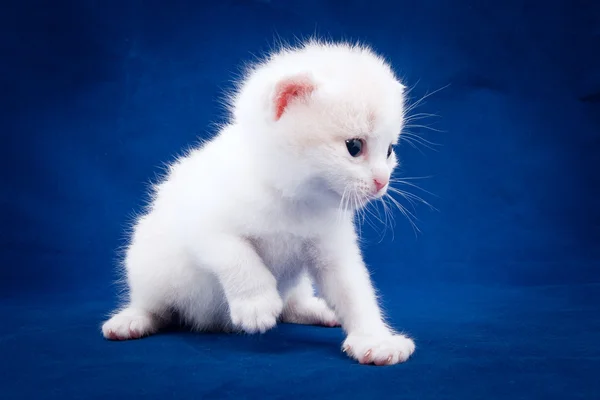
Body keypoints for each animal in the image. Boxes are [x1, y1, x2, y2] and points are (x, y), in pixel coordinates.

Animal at [101, 39, 414, 366]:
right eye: (354, 147)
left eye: (389, 150)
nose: (382, 181)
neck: (292, 197)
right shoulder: (202, 223)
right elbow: (239, 256)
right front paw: (256, 303)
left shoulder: (331, 250)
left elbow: (354, 291)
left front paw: (375, 339)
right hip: (147, 262)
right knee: (155, 305)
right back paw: (133, 319)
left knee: (292, 303)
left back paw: (315, 309)